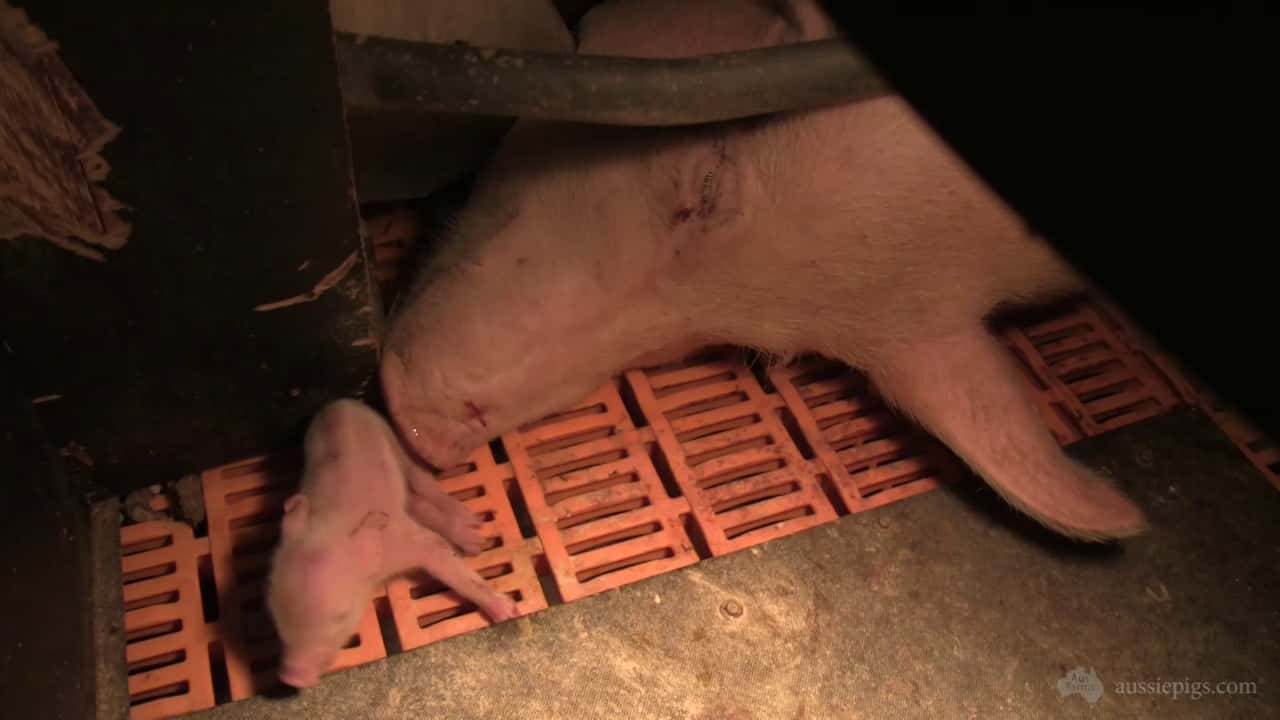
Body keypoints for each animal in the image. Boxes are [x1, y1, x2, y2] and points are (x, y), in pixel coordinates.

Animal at [267, 397, 517, 681]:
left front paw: (508, 611)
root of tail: (340, 402)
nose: (291, 676)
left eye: (340, 616)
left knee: (418, 478)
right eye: (274, 614)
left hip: (390, 435)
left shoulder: (405, 539)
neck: (331, 524)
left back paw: (470, 525)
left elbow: (445, 560)